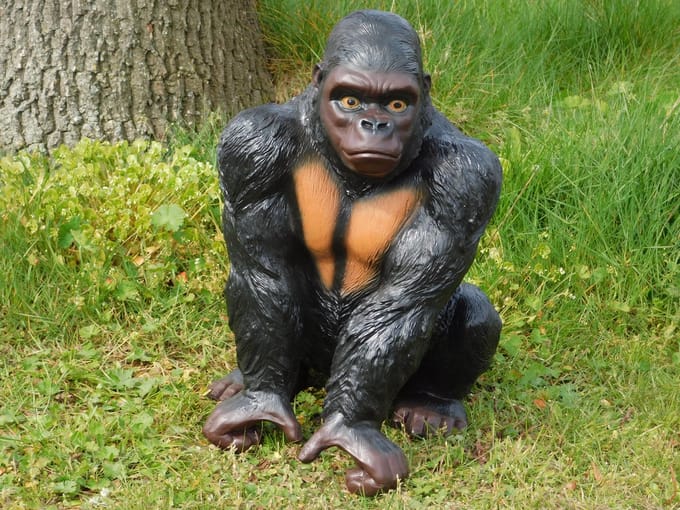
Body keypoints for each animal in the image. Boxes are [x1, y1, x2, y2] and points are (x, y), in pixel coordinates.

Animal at [202, 10, 502, 496]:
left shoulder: (468, 178)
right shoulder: (249, 146)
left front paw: (350, 428)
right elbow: (264, 273)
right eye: (350, 100)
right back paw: (244, 382)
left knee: (477, 311)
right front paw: (260, 399)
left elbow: (402, 304)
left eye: (397, 105)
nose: (374, 126)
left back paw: (432, 404)